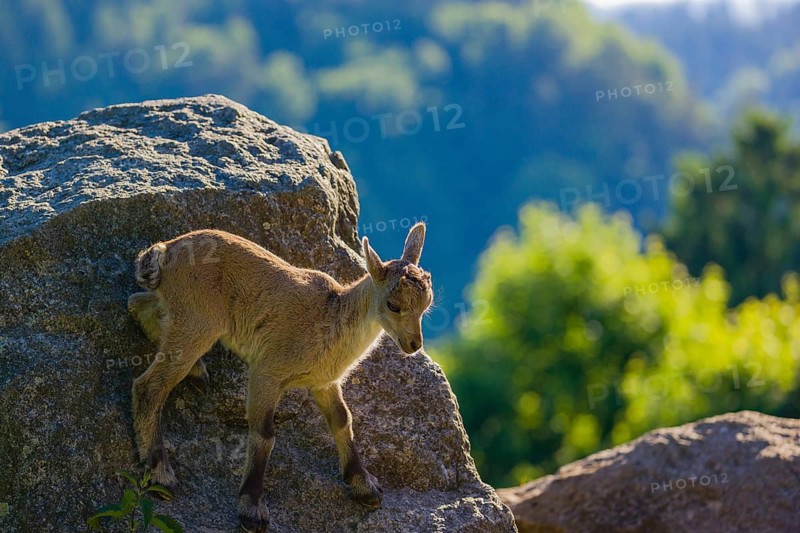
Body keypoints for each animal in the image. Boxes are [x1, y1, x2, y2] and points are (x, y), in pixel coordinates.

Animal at [128, 223, 432, 532]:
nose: (413, 344)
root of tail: (166, 250)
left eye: (427, 304)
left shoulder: (325, 384)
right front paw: (252, 509)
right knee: (148, 386)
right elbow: (264, 434)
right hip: (197, 321)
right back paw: (161, 473)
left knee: (138, 304)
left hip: (182, 315)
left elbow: (342, 420)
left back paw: (197, 374)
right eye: (393, 305)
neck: (331, 322)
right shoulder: (266, 371)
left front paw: (365, 486)